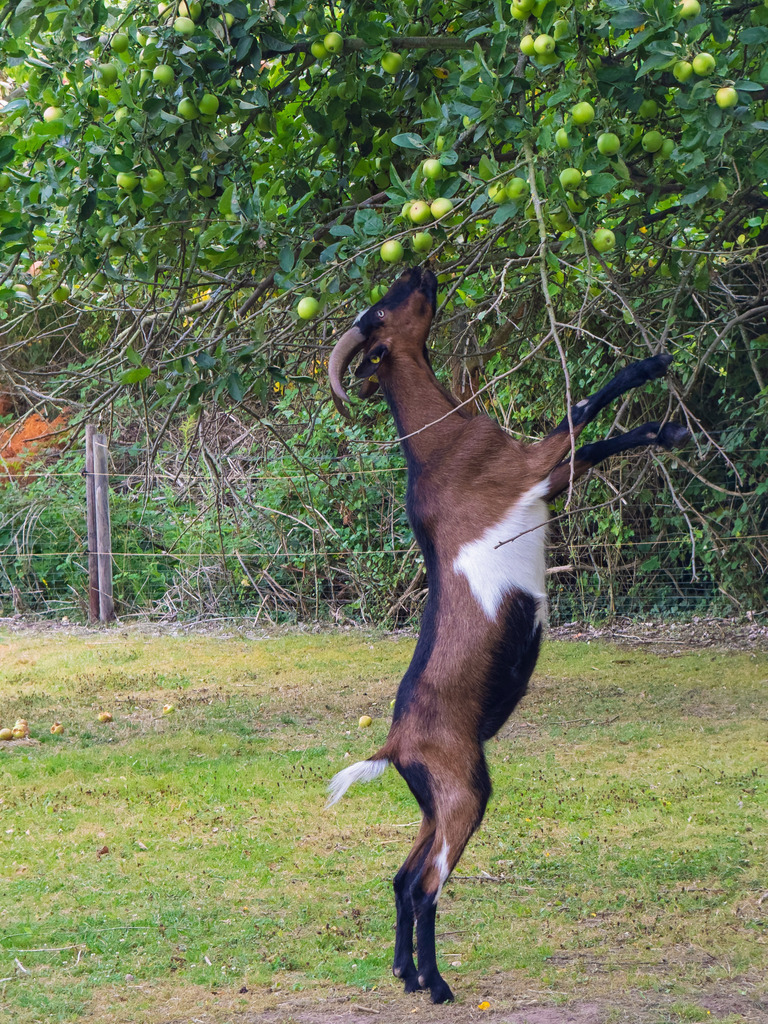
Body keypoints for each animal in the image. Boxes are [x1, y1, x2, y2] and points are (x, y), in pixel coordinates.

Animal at [327, 265, 689, 1004]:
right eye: (382, 310)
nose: (421, 269)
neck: (441, 444)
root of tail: (394, 744)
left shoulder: (546, 481)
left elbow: (597, 442)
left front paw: (667, 431)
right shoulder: (530, 467)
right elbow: (580, 414)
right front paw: (651, 368)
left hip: (438, 801)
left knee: (401, 879)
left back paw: (405, 974)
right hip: (464, 794)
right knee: (427, 887)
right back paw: (436, 985)